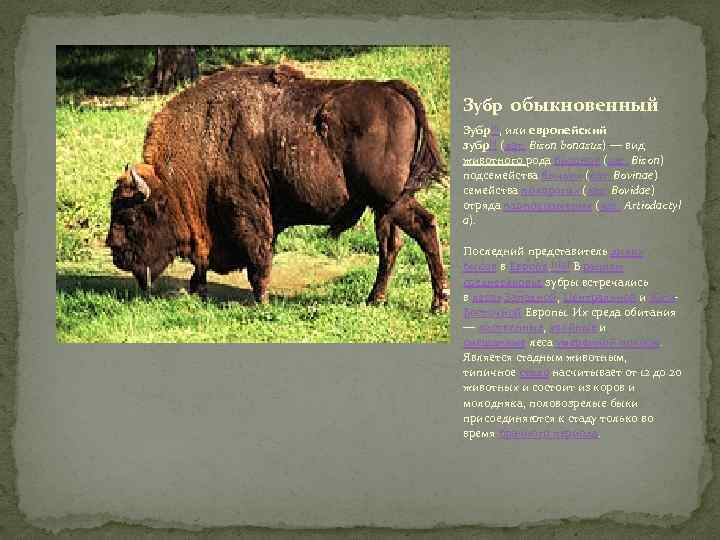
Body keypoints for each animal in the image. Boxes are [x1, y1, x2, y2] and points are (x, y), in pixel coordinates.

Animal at [106, 65, 449, 312]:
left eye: (129, 217)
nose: (115, 252)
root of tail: (392, 88)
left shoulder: (248, 213)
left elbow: (259, 257)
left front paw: (261, 301)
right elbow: (207, 262)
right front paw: (196, 289)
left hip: (392, 199)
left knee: (425, 227)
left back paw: (438, 303)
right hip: (383, 207)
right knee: (391, 245)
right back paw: (374, 299)